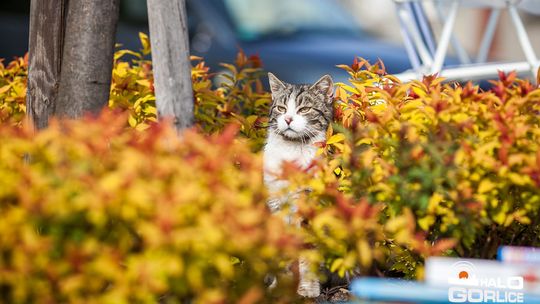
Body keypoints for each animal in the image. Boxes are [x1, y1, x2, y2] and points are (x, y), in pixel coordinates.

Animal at [262, 73, 334, 296]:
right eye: (281, 108)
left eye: (304, 109)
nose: (287, 119)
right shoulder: (275, 204)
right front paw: (280, 286)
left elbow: (308, 249)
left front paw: (308, 288)